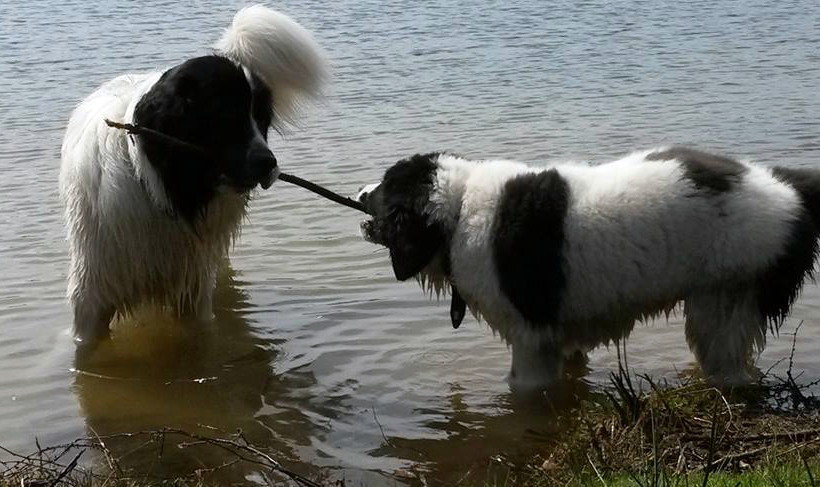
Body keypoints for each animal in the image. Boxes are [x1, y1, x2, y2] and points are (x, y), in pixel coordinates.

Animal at [60, 4, 326, 346]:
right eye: (226, 116)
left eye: (261, 119)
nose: (269, 163)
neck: (163, 189)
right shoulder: (93, 293)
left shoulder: (193, 289)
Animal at [360, 150, 820, 392]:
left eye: (384, 187)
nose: (360, 191)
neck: (458, 209)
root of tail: (787, 188)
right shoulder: (559, 330)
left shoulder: (530, 336)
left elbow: (525, 387)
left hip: (727, 293)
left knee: (725, 356)